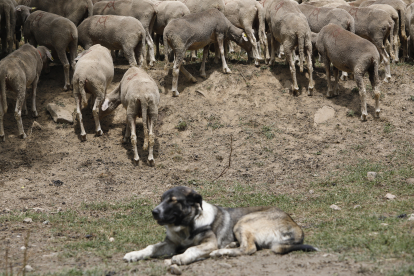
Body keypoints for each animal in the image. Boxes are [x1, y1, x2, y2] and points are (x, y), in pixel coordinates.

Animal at [123, 185, 316, 266]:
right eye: (161, 199)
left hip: (243, 221)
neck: (187, 226)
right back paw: (229, 245)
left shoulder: (209, 243)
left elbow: (192, 249)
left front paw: (182, 257)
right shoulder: (170, 244)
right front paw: (134, 254)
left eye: (173, 200)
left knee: (249, 248)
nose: (154, 212)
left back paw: (220, 252)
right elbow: (150, 247)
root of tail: (297, 227)